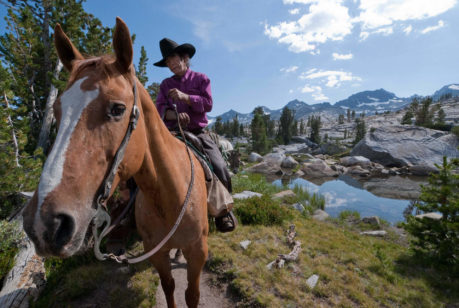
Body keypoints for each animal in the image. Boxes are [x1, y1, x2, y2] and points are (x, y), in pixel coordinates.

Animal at [21, 18, 208, 306]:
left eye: (118, 109)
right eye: (56, 111)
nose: (45, 225)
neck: (169, 197)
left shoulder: (198, 253)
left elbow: (192, 295)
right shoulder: (156, 253)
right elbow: (168, 287)